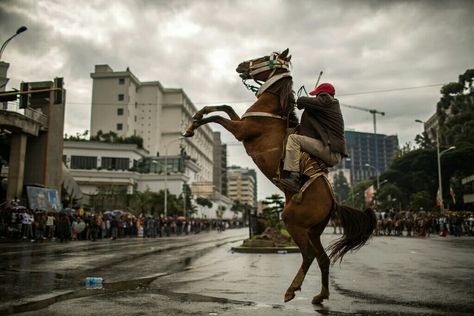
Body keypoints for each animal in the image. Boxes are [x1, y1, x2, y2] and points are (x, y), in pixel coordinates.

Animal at [183, 48, 376, 304]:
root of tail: (334, 202)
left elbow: (219, 117)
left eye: (266, 57)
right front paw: (194, 119)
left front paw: (193, 124)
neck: (271, 109)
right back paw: (320, 295)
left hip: (293, 222)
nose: (241, 65)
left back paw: (291, 290)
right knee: (322, 258)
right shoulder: (240, 122)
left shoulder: (241, 130)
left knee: (309, 255)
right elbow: (224, 107)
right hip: (313, 230)